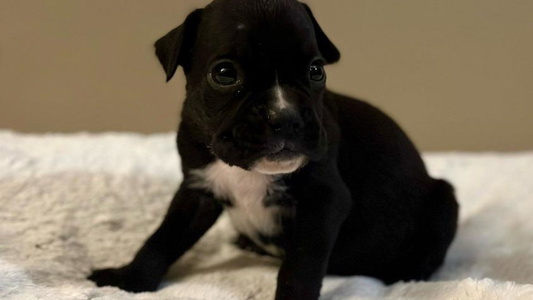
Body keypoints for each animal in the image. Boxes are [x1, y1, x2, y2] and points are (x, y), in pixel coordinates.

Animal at [89, 1, 460, 298]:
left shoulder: (321, 202)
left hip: (444, 202)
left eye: (316, 70)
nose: (286, 117)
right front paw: (127, 280)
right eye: (225, 74)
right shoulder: (197, 190)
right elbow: (162, 238)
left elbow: (300, 267)